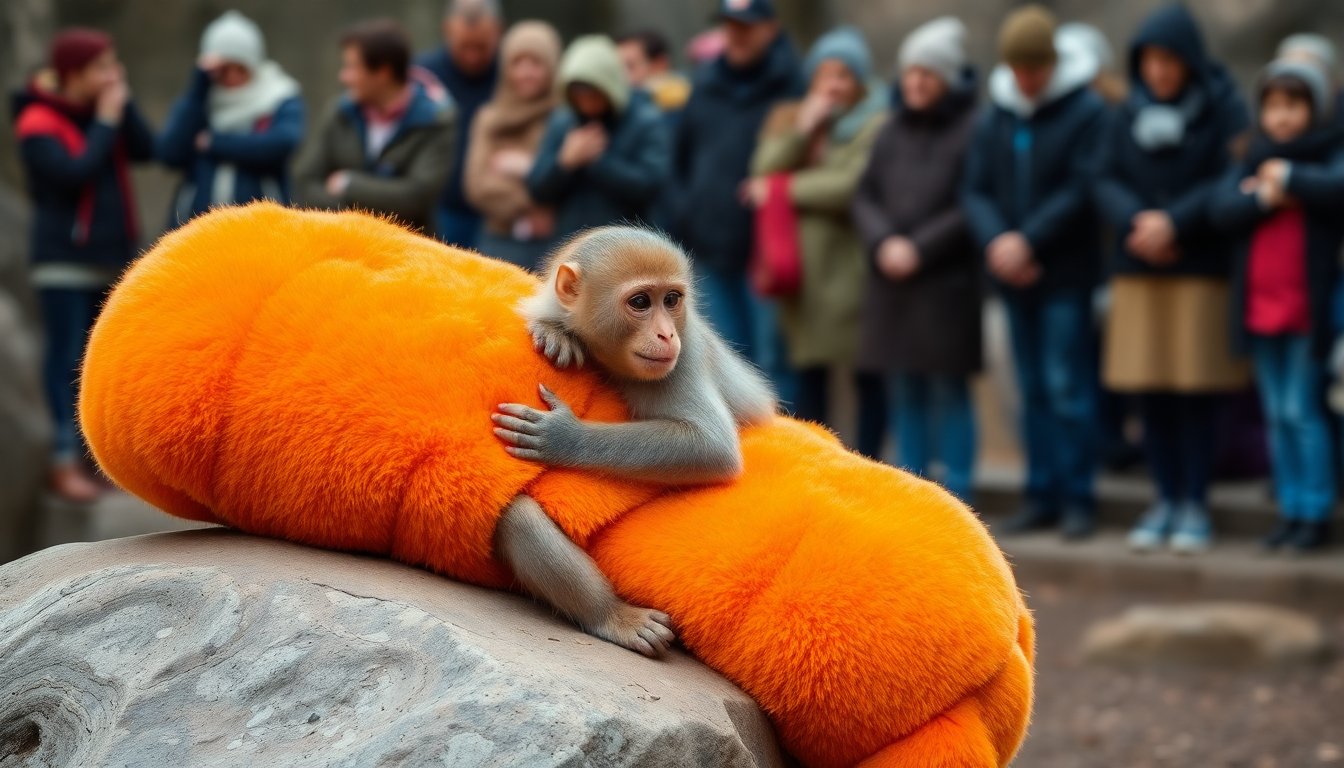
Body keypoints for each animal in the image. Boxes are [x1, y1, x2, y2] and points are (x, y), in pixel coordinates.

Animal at [489, 226, 777, 658]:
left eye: (671, 300)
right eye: (641, 302)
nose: (666, 333)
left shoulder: (685, 352)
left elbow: (711, 445)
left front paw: (564, 436)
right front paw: (556, 334)